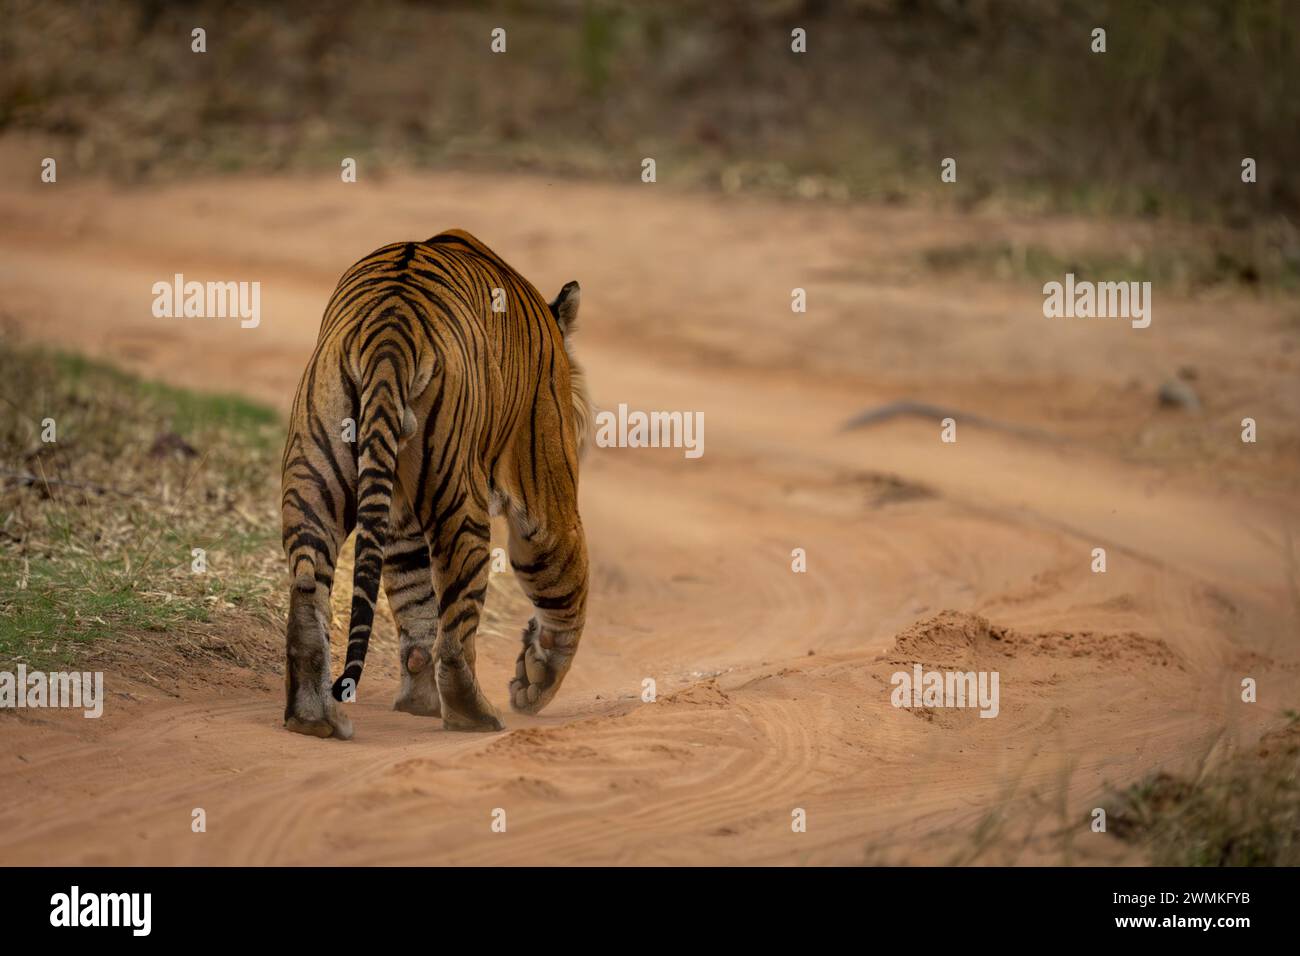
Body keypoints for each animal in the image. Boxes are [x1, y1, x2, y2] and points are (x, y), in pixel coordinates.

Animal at [284, 227, 595, 738]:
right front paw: (535, 681)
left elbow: (414, 604)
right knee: (456, 628)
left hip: (314, 472)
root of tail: (389, 331)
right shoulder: (546, 494)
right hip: (459, 496)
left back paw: (314, 717)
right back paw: (475, 714)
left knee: (310, 588)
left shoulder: (399, 516)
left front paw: (419, 702)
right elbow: (566, 591)